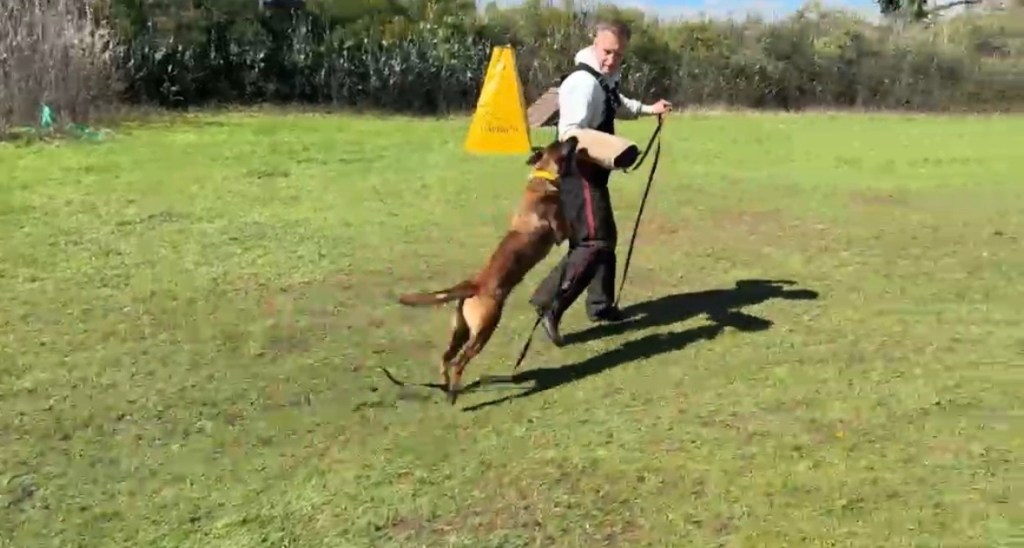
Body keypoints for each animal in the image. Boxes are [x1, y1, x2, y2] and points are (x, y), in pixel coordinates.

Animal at [397, 136, 581, 404]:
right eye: (562, 143)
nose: (575, 137)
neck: (542, 176)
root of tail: (473, 286)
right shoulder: (560, 231)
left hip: (460, 330)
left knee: (445, 358)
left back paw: (445, 387)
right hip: (484, 330)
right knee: (459, 362)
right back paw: (453, 393)